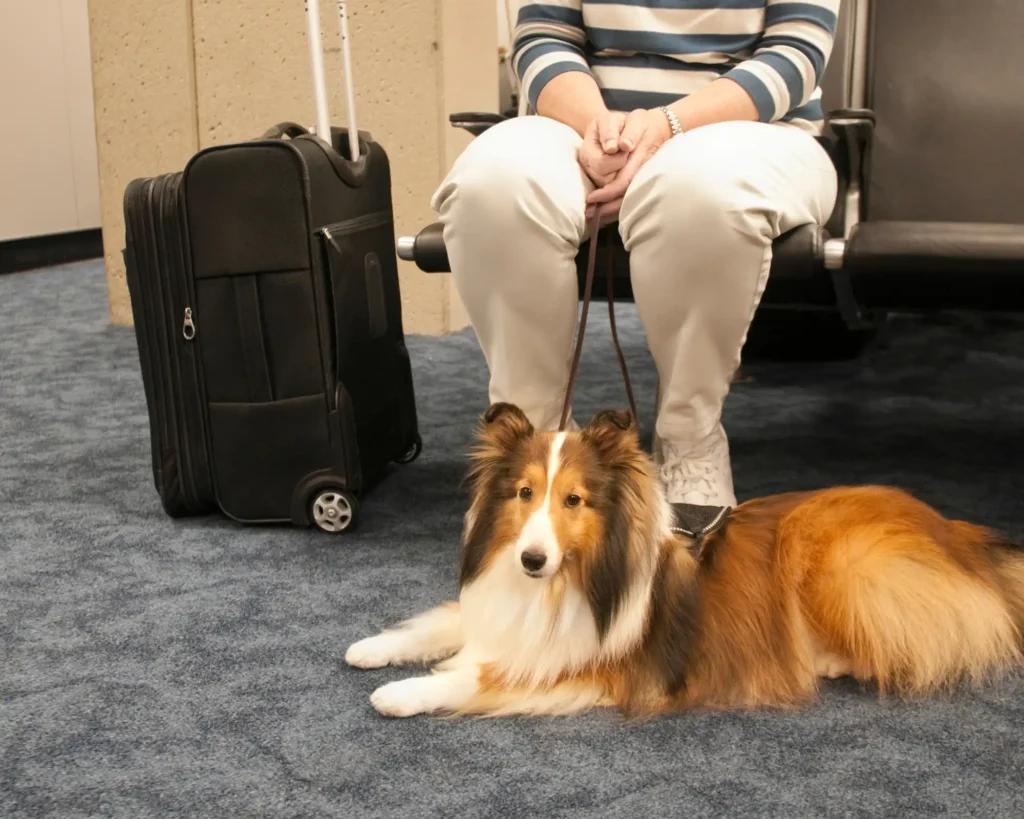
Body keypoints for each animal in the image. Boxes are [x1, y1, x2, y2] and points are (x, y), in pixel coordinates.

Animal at [344, 403, 1024, 716]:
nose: (532, 559)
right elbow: (440, 624)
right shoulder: (498, 609)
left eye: (574, 500)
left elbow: (479, 675)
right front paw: (372, 648)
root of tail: (958, 532)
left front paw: (401, 693)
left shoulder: (589, 663)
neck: (566, 582)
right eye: (524, 494)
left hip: (842, 562)